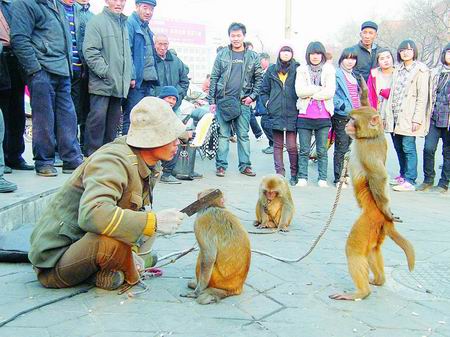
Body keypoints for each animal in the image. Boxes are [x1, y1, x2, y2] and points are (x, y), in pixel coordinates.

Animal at [328, 103, 416, 300]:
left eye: (353, 119)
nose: (347, 125)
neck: (370, 137)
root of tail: (380, 218)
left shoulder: (366, 150)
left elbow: (379, 176)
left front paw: (388, 210)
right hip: (377, 229)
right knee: (372, 250)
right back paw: (379, 280)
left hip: (369, 222)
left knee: (354, 249)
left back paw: (361, 292)